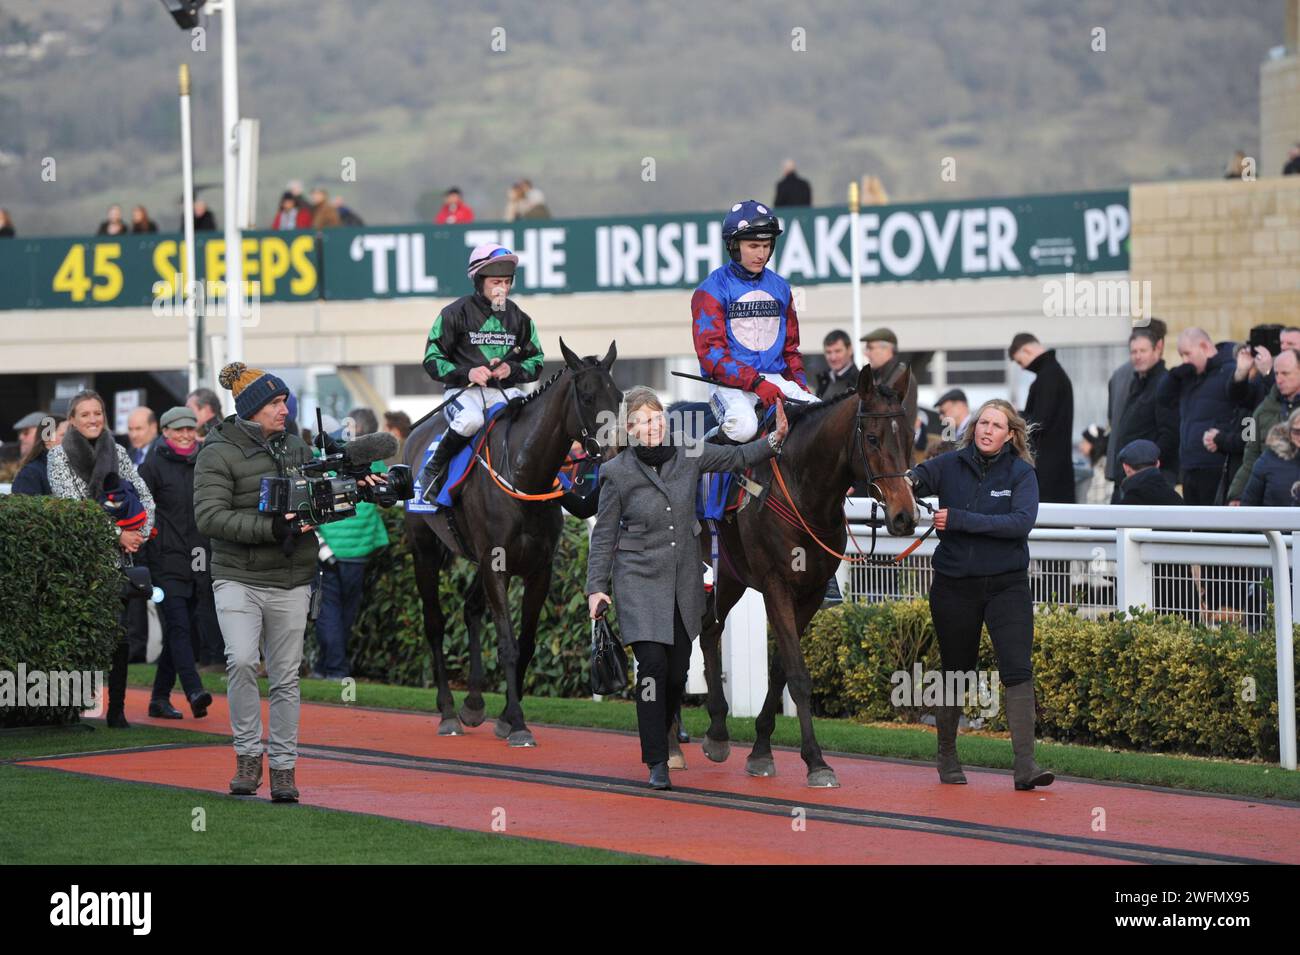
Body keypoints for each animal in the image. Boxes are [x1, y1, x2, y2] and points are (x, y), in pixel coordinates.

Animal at [403, 340, 621, 748]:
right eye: (586, 396)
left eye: (617, 396)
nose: (614, 450)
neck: (524, 473)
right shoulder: (496, 565)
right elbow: (506, 642)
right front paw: (518, 722)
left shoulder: (538, 568)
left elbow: (528, 642)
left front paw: (505, 716)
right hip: (424, 548)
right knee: (435, 623)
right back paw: (447, 711)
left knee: (470, 609)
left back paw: (472, 703)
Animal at [696, 361, 920, 789]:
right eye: (872, 437)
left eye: (910, 437)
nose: (905, 516)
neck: (803, 491)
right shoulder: (775, 585)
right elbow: (799, 675)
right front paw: (816, 760)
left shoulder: (812, 591)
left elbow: (783, 668)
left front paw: (761, 749)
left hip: (730, 575)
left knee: (709, 631)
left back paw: (716, 730)